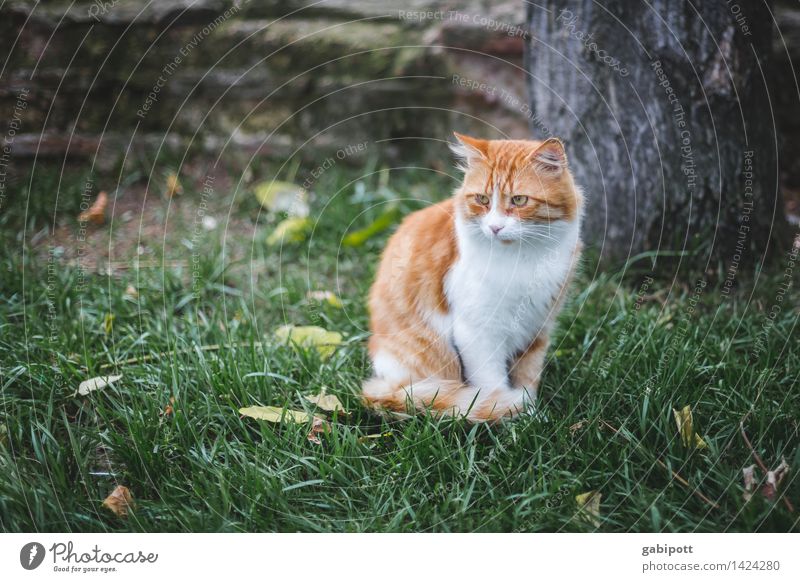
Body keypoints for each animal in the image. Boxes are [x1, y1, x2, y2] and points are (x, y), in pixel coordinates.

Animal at [362, 132, 580, 424]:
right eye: (483, 199)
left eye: (519, 201)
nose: (495, 227)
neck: (523, 258)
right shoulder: (478, 331)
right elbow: (492, 385)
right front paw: (509, 412)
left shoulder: (537, 326)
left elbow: (528, 376)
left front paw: (531, 415)